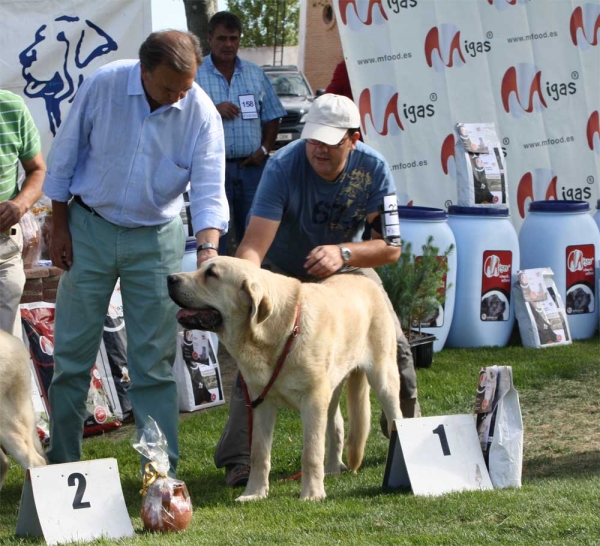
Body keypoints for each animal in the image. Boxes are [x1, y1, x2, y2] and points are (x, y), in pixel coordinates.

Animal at [168, 255, 404, 498]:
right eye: (200, 267)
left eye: (211, 274)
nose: (170, 278)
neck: (279, 332)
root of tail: (366, 281)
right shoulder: (261, 403)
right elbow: (259, 453)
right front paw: (254, 493)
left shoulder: (313, 401)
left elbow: (311, 452)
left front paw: (311, 494)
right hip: (333, 387)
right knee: (337, 425)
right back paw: (331, 469)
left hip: (383, 377)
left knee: (396, 418)